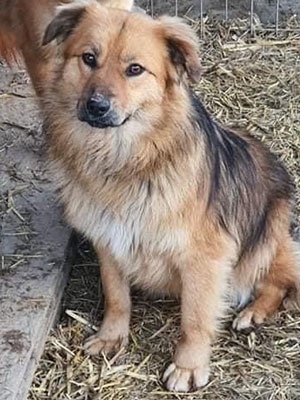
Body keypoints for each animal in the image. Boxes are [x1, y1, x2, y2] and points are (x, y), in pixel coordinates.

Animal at [0, 0, 300, 394]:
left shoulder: (206, 255)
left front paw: (188, 366)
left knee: (281, 279)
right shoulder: (108, 238)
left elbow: (195, 317)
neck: (121, 160)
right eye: (89, 58)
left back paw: (253, 312)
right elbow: (116, 296)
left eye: (135, 69)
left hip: (265, 234)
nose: (96, 105)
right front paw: (112, 336)